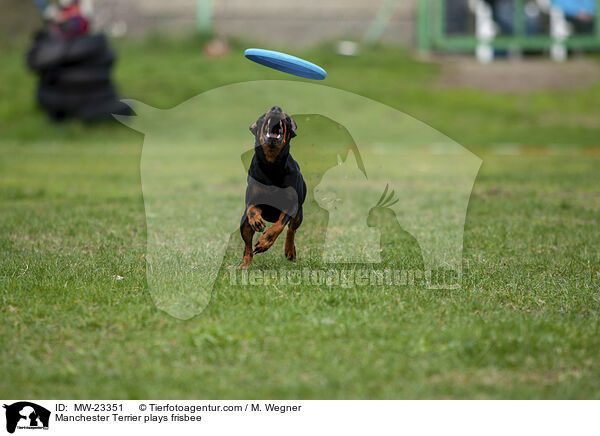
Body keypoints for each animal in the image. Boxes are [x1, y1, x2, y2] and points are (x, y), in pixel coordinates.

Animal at [238, 106, 304, 270]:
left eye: (287, 118)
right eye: (263, 115)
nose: (276, 108)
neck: (272, 166)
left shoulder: (291, 205)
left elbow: (279, 226)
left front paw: (264, 242)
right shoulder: (252, 199)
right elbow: (252, 209)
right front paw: (257, 220)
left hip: (299, 214)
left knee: (291, 230)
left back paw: (289, 251)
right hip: (244, 224)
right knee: (248, 246)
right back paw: (244, 265)